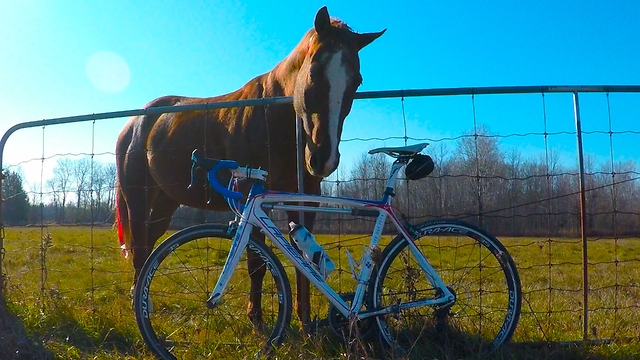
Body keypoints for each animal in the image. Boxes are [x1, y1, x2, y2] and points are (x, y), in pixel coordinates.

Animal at [114, 6, 382, 326]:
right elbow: (256, 261)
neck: (274, 119)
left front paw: (304, 319)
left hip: (166, 200)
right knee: (141, 246)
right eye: (314, 72)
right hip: (138, 199)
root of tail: (134, 123)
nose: (323, 157)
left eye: (357, 81)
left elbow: (303, 262)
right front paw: (255, 317)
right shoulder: (250, 195)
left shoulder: (304, 197)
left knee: (150, 239)